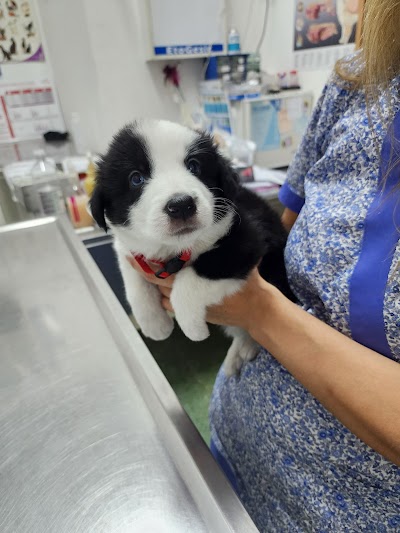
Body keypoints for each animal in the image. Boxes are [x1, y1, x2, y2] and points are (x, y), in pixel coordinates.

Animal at [89, 119, 292, 374]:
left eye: (194, 166)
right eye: (136, 178)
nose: (181, 205)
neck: (176, 247)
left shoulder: (247, 238)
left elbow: (193, 278)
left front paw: (193, 328)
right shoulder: (129, 250)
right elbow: (134, 284)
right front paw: (156, 325)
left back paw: (245, 347)